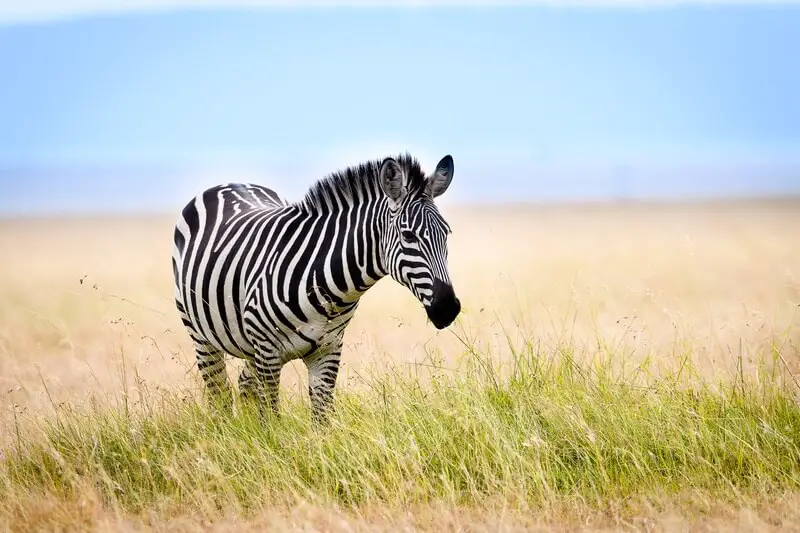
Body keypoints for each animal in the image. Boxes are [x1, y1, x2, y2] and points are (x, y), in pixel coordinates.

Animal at [173, 152, 462, 422]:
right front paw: (269, 441)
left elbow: (322, 422)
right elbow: (271, 420)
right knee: (219, 394)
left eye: (447, 233)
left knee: (244, 383)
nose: (448, 308)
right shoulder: (267, 352)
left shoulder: (328, 350)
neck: (330, 291)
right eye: (408, 236)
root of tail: (229, 183)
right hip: (202, 335)